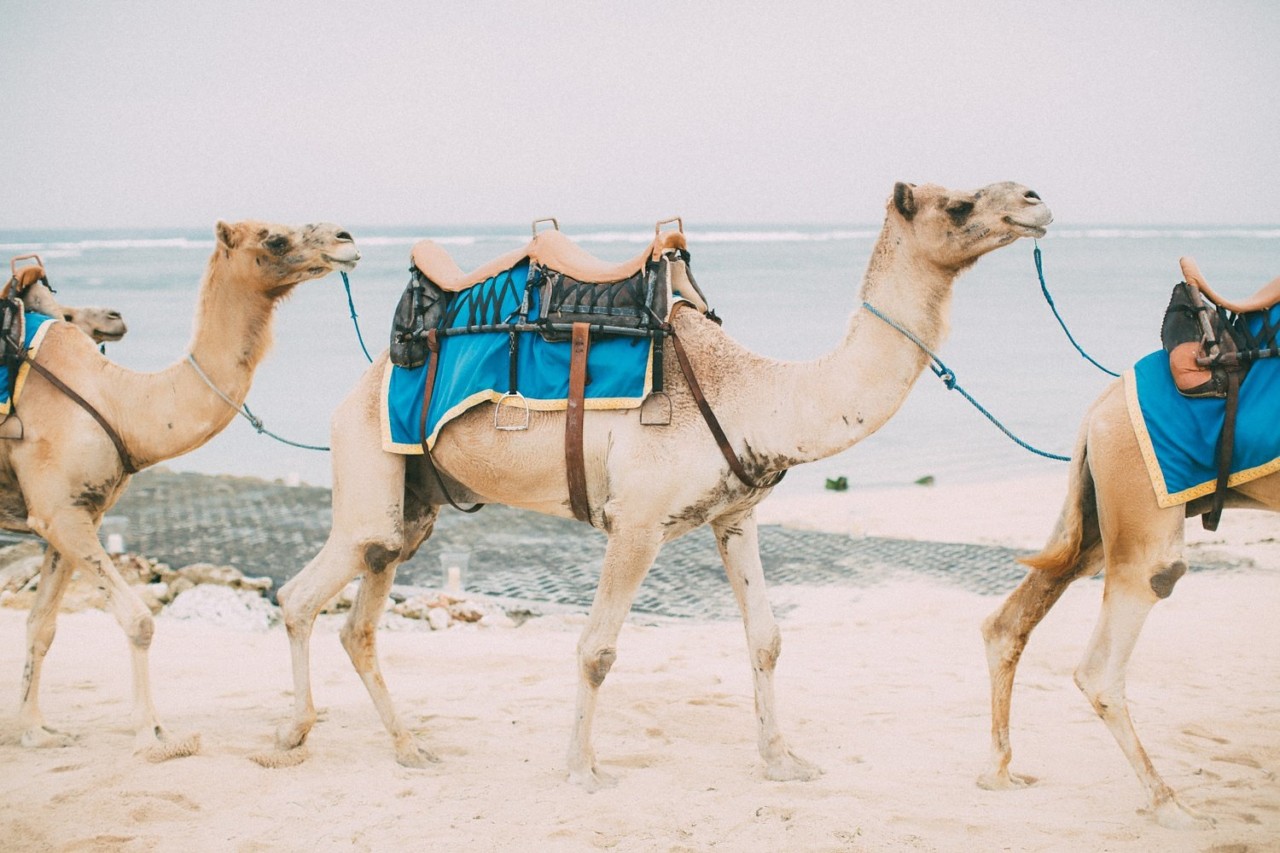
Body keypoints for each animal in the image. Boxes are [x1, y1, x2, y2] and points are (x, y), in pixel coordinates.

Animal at [13, 221, 358, 760]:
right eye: (274, 238)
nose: (345, 238)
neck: (117, 402)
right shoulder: (56, 512)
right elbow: (139, 619)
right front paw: (155, 733)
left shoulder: (71, 514)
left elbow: (41, 625)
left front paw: (34, 730)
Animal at [271, 181, 1051, 786]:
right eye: (959, 203)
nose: (1035, 201)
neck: (757, 392)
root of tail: (360, 383)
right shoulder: (637, 521)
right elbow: (597, 649)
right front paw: (582, 769)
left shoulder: (735, 515)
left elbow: (766, 638)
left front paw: (783, 760)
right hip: (366, 464)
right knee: (302, 593)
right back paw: (292, 733)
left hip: (416, 504)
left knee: (362, 612)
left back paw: (409, 747)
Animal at [979, 373, 1279, 827]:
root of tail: (1100, 407)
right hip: (1141, 507)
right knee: (1107, 658)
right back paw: (1171, 806)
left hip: (1092, 521)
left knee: (1009, 622)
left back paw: (999, 772)